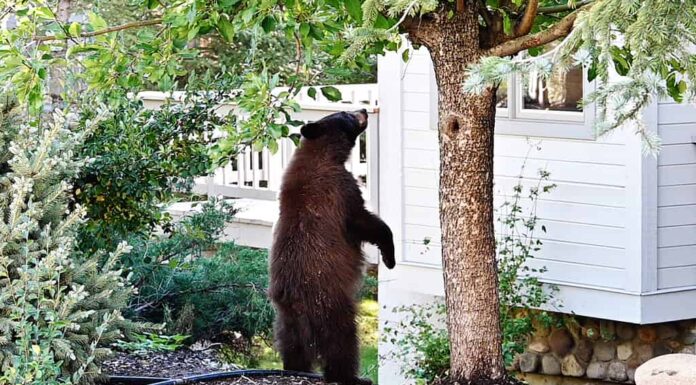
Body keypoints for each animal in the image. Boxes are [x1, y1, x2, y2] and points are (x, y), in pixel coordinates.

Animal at [268, 109, 394, 384]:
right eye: (345, 114)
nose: (364, 110)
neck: (323, 154)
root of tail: (295, 301)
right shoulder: (340, 190)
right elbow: (363, 221)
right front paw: (389, 256)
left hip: (285, 320)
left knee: (291, 346)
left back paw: (295, 368)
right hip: (331, 307)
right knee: (343, 344)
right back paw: (353, 377)